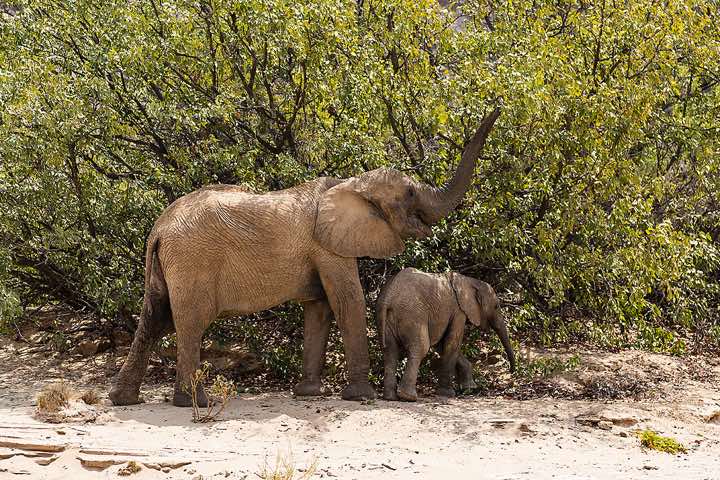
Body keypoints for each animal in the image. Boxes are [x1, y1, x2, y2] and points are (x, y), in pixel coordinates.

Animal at [109, 108, 500, 407]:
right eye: (409, 195)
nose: (495, 104)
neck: (350, 183)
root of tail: (159, 229)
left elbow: (319, 308)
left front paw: (309, 393)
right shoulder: (328, 246)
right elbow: (347, 301)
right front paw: (361, 396)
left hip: (167, 266)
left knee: (154, 318)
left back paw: (124, 399)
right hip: (194, 261)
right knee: (189, 322)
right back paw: (197, 403)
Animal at [376, 268, 515, 401]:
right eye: (496, 306)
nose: (512, 371)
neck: (470, 281)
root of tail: (389, 297)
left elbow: (441, 344)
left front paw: (470, 388)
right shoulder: (459, 311)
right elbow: (452, 341)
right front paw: (447, 394)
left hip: (388, 320)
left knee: (390, 351)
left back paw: (390, 397)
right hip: (413, 315)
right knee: (420, 348)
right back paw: (408, 397)